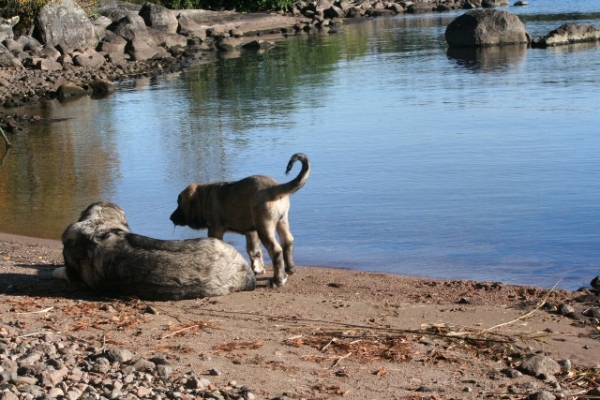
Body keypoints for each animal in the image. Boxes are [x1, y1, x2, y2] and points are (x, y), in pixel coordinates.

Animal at [169, 153, 310, 288]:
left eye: (179, 203)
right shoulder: (251, 231)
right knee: (287, 241)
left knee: (276, 251)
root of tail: (273, 188)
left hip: (264, 227)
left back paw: (278, 281)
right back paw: (290, 269)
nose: (171, 218)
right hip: (281, 221)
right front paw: (257, 269)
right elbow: (254, 251)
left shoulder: (215, 229)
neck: (204, 197)